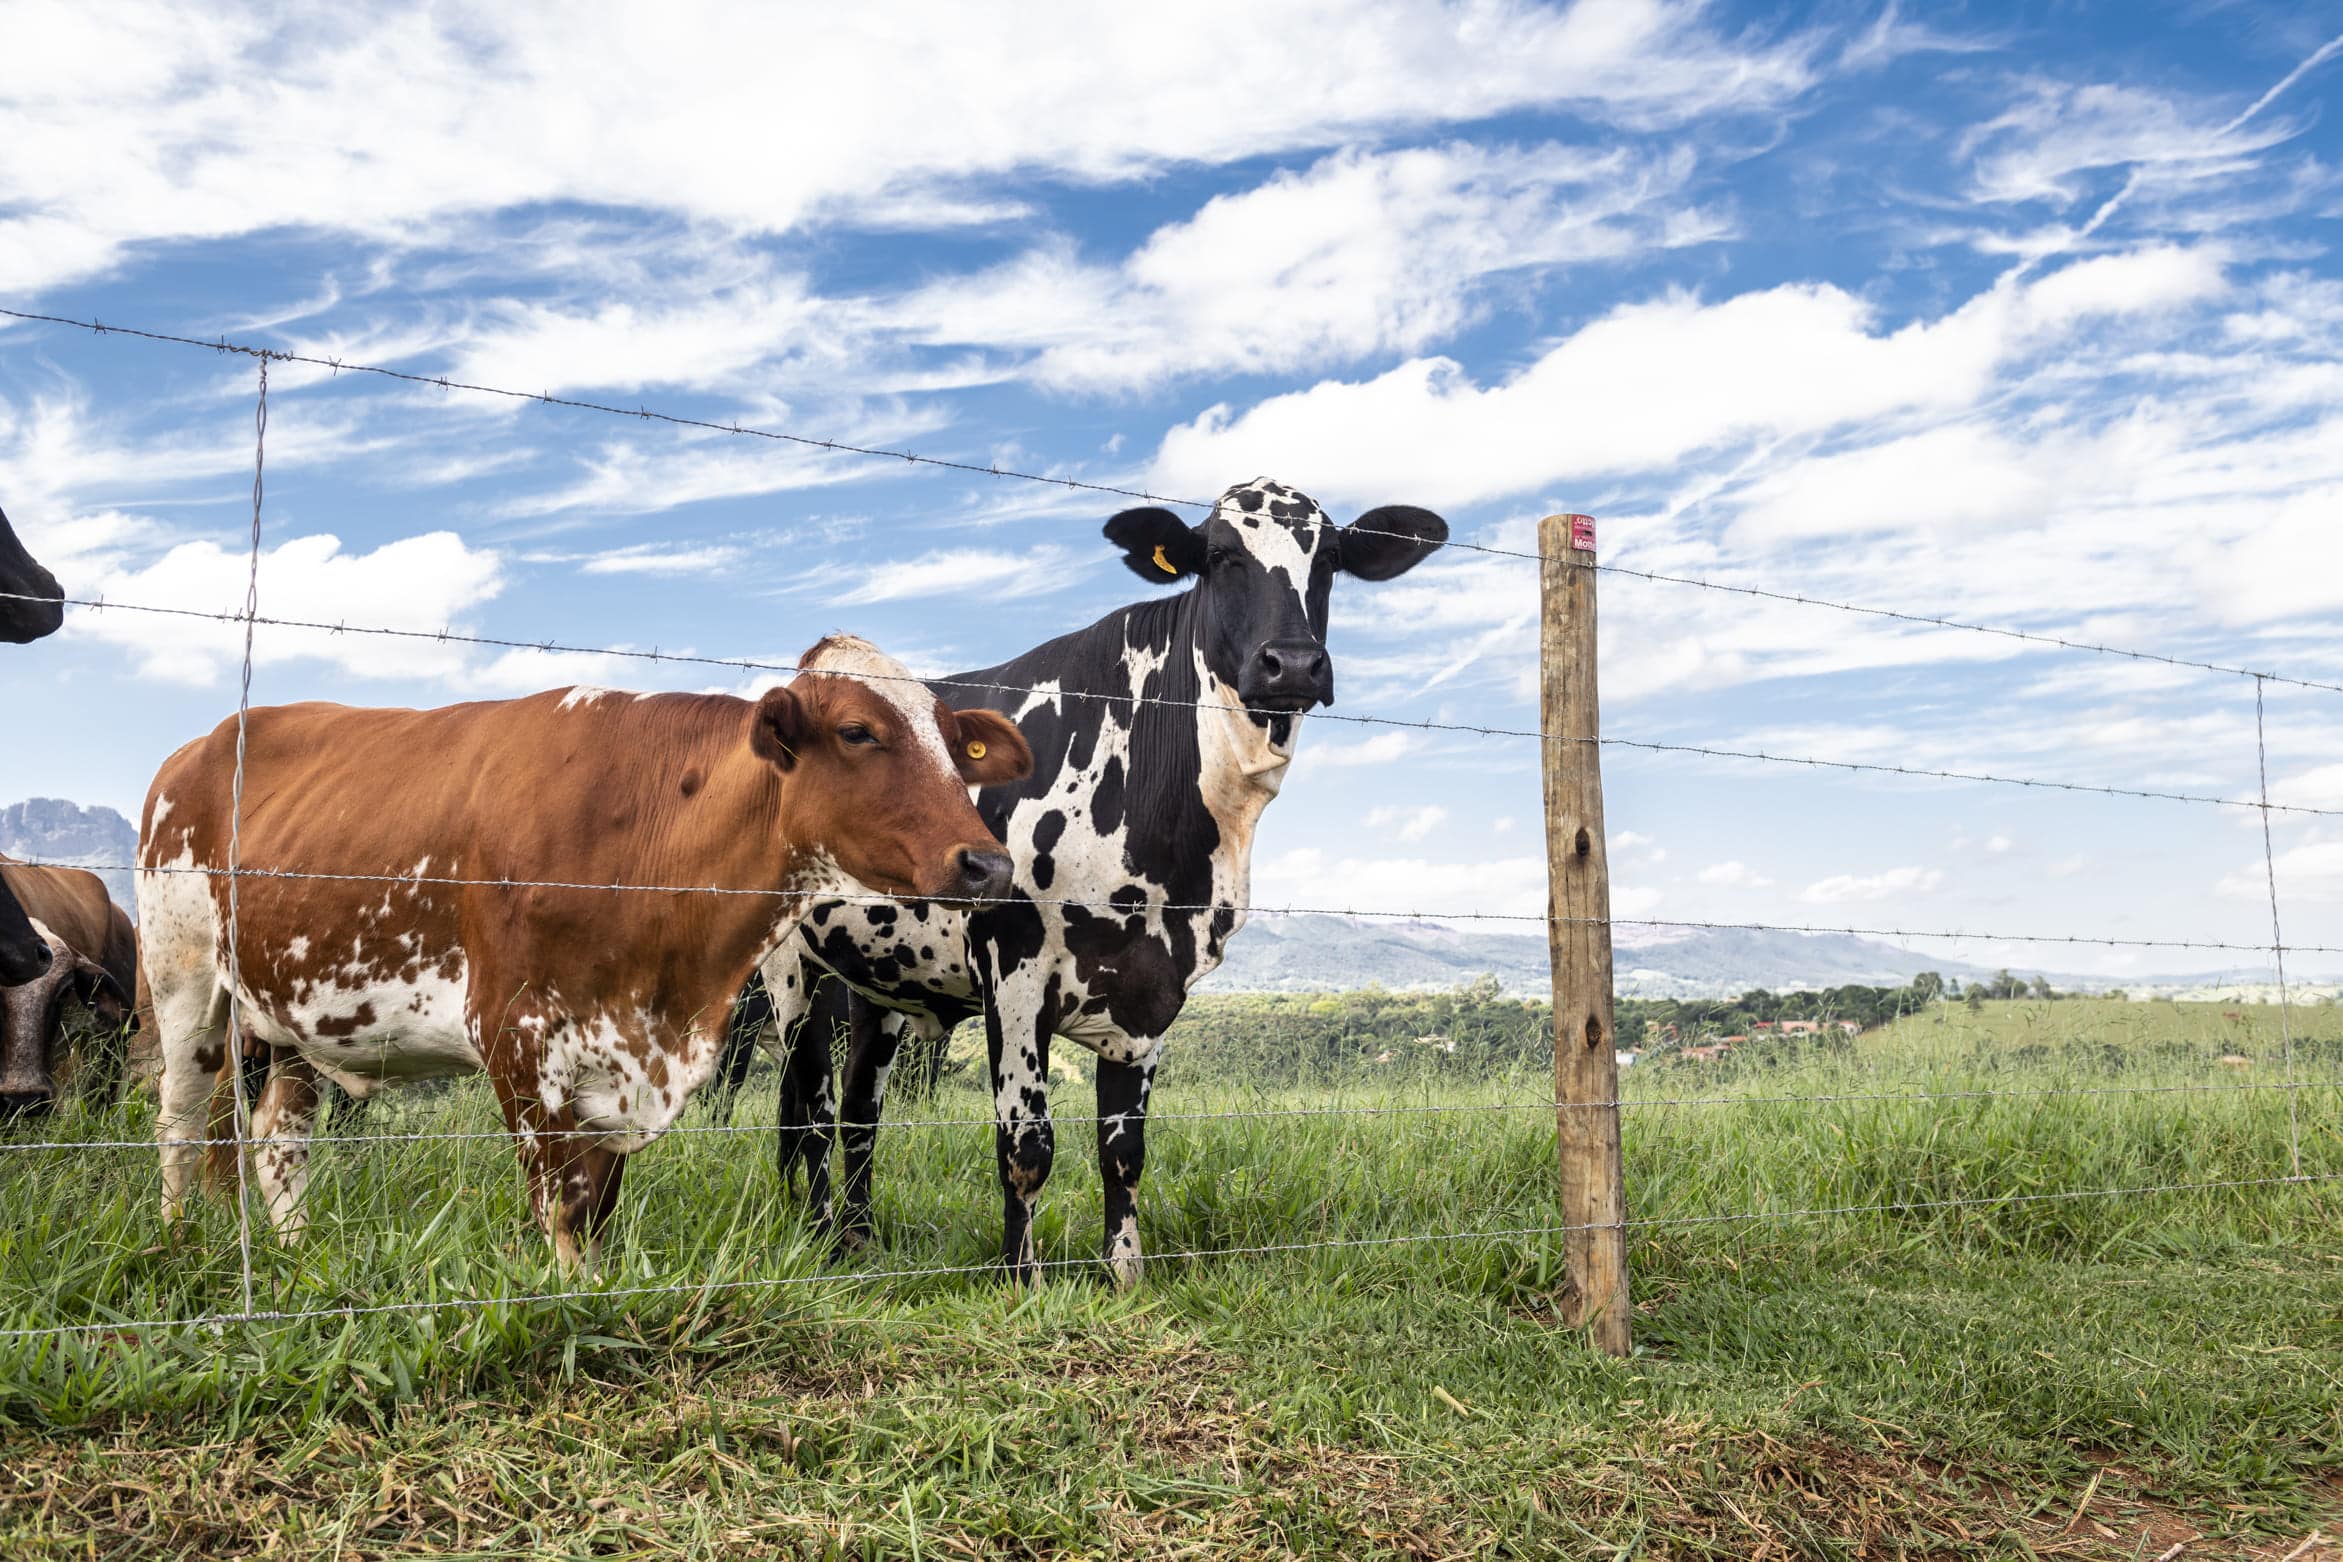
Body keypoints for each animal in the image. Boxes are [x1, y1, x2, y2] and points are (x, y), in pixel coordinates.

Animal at [141, 636, 1030, 1273]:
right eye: (856, 731)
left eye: (956, 743)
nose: (988, 865)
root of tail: (201, 745)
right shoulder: (512, 1034)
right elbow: (563, 1202)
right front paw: (568, 1301)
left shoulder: (624, 1054)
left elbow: (598, 1203)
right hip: (185, 985)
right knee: (181, 1119)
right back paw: (179, 1238)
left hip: (288, 1011)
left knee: (273, 1136)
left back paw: (296, 1251)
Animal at [726, 480, 1443, 1283]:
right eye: (1220, 555)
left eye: (1331, 559)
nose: (1291, 664)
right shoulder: (1012, 968)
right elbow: (1026, 1143)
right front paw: (1021, 1280)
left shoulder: (1154, 984)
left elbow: (1123, 1147)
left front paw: (1123, 1274)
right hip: (792, 971)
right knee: (810, 1108)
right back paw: (821, 1236)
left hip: (879, 978)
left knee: (856, 1109)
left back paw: (857, 1239)